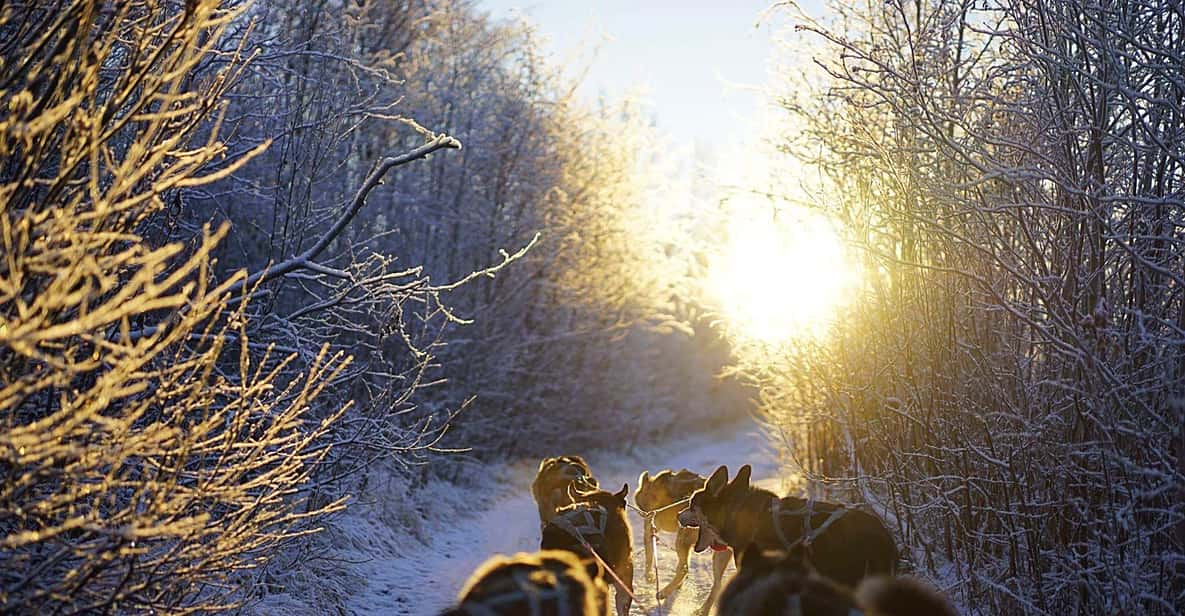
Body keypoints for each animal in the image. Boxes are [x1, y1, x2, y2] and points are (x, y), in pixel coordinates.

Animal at [639, 469, 729, 611]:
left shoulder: (649, 528)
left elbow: (649, 558)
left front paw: (649, 577)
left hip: (682, 539)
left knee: (684, 568)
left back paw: (664, 592)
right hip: (721, 554)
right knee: (717, 584)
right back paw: (703, 610)